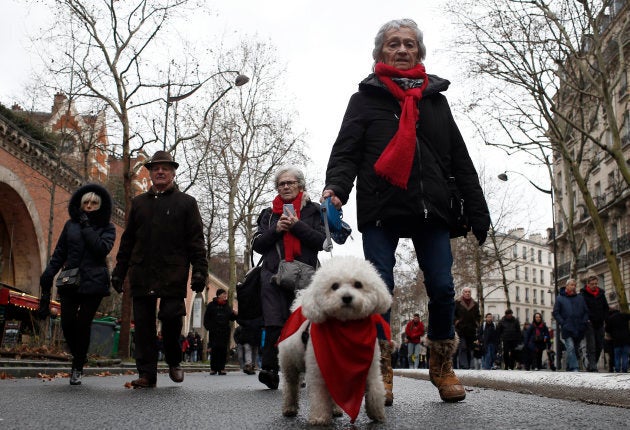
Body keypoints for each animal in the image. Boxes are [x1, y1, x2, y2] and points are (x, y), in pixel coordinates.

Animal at [278, 256, 392, 424]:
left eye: (358, 284)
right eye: (334, 286)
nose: (347, 297)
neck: (347, 329)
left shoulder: (371, 368)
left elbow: (375, 389)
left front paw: (377, 414)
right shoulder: (318, 369)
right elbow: (319, 395)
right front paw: (319, 418)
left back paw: (335, 410)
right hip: (289, 364)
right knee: (290, 386)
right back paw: (289, 408)